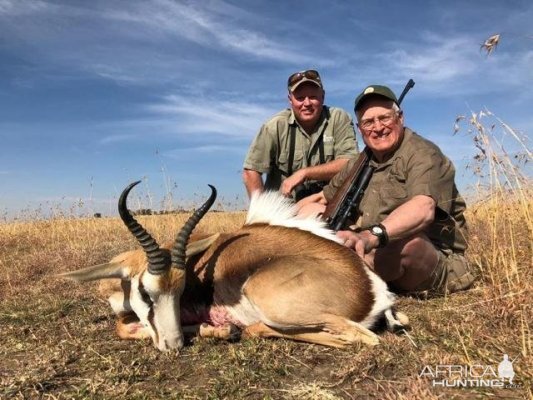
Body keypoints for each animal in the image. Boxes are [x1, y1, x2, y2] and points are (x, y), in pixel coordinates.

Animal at [59, 180, 408, 352]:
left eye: (181, 291)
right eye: (147, 293)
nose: (173, 346)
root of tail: (373, 289)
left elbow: (123, 328)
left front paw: (219, 329)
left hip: (270, 299)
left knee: (363, 338)